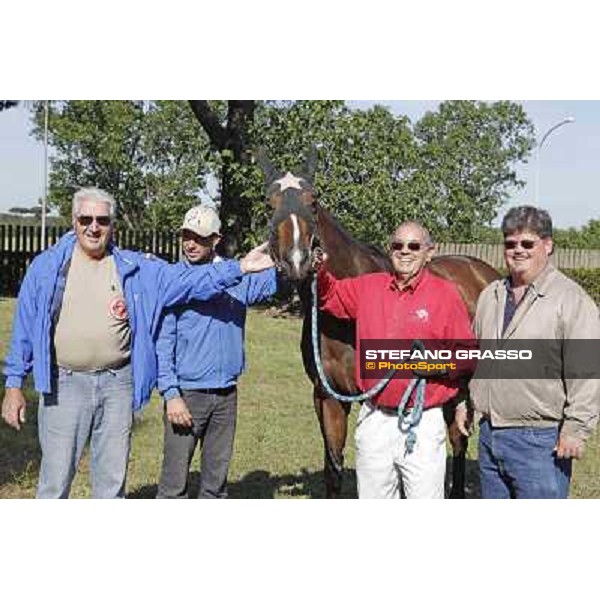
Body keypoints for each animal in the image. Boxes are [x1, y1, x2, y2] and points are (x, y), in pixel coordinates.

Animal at [258, 149, 502, 496]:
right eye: (270, 203)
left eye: (313, 201)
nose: (297, 260)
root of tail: (484, 272)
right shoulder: (327, 397)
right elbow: (333, 468)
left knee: (458, 440)